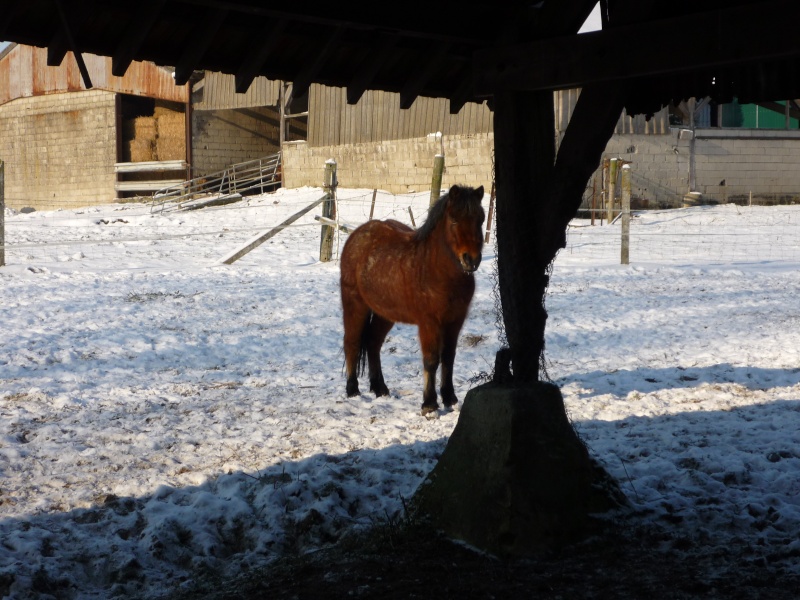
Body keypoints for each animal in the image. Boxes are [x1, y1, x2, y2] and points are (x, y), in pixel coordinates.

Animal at [340, 185, 484, 414]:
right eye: (453, 220)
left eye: (480, 219)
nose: (471, 260)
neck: (437, 270)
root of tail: (356, 235)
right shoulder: (429, 322)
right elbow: (431, 360)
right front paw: (429, 404)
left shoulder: (455, 321)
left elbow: (448, 357)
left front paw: (450, 398)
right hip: (355, 304)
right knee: (352, 342)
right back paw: (352, 389)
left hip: (384, 314)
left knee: (373, 343)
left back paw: (380, 388)